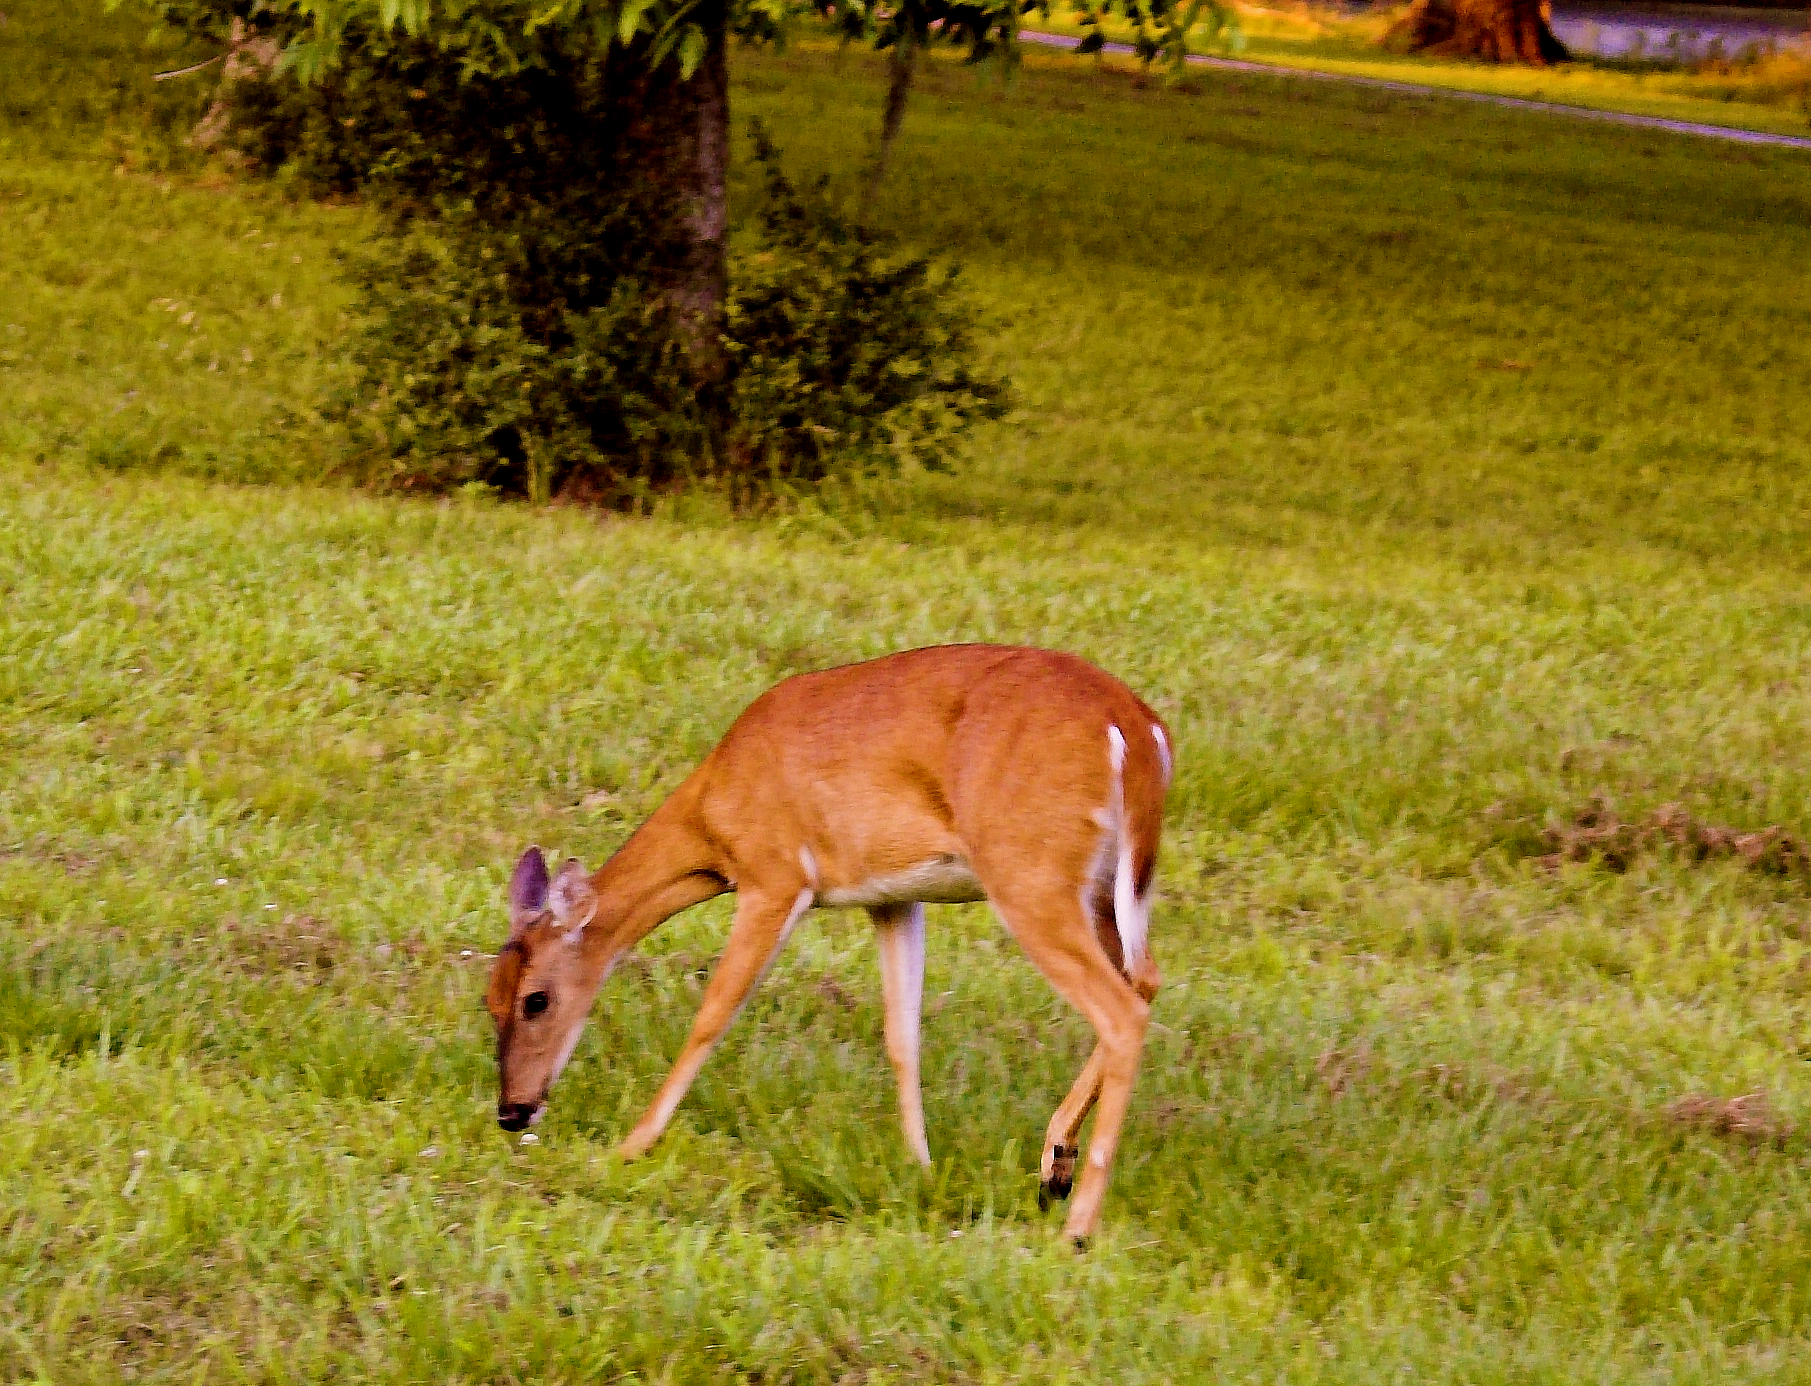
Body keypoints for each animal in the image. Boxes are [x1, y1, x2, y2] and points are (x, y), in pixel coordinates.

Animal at [485, 644, 1173, 1239]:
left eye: (536, 999)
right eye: (489, 1001)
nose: (511, 1112)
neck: (714, 817)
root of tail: (1135, 730)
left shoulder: (775, 875)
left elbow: (713, 1013)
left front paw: (630, 1146)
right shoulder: (891, 898)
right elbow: (902, 1037)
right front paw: (920, 1168)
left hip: (1029, 871)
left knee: (1121, 1009)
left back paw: (1078, 1224)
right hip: (1104, 888)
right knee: (1146, 979)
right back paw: (1054, 1166)